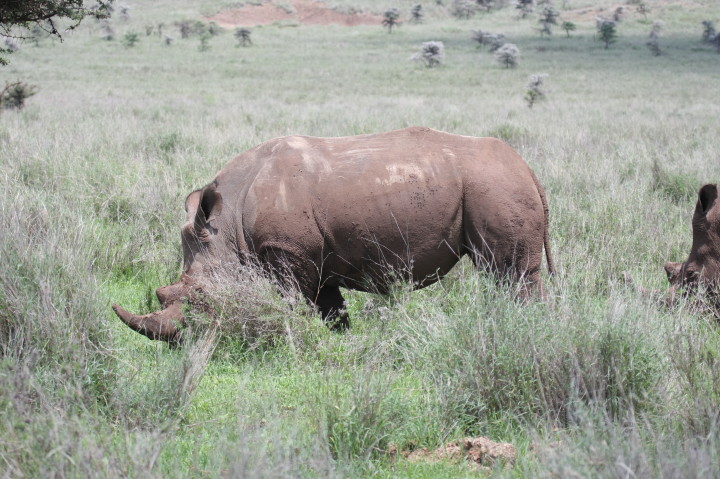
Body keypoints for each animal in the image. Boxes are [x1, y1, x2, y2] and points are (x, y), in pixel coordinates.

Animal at [113, 127, 555, 344]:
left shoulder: (287, 253)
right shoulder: (312, 257)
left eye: (202, 297)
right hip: (491, 184)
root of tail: (527, 167)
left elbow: (292, 305)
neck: (229, 220)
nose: (177, 343)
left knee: (510, 273)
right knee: (501, 275)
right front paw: (340, 344)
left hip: (494, 185)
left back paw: (526, 329)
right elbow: (332, 311)